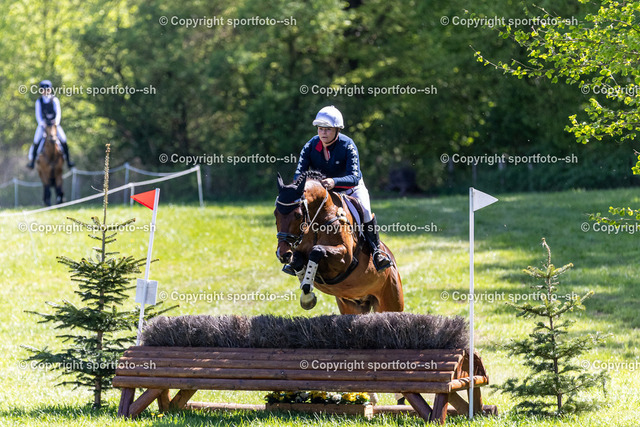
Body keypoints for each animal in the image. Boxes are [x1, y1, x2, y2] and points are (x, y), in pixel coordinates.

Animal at [275, 171, 404, 313]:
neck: (317, 221)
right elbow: (298, 260)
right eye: (275, 213)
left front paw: (307, 292)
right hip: (350, 306)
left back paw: (381, 259)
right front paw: (306, 293)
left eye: (298, 215)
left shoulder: (346, 258)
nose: (283, 254)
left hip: (390, 301)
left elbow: (317, 250)